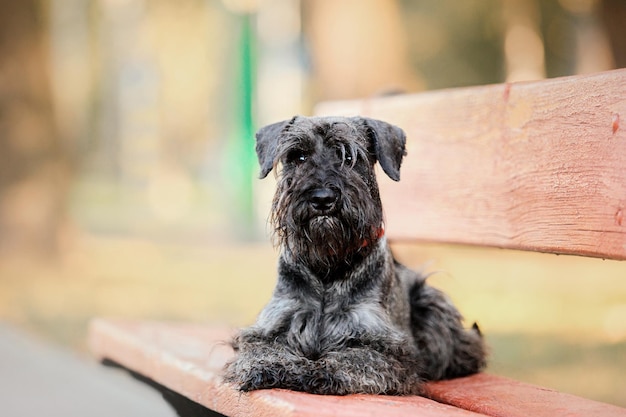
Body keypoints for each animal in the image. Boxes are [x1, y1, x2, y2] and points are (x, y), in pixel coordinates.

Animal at [222, 114, 486, 394]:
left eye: (349, 157)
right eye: (298, 156)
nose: (322, 198)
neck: (328, 266)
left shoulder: (381, 344)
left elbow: (354, 360)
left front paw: (316, 372)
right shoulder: (273, 325)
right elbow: (262, 351)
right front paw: (271, 368)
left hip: (431, 303)